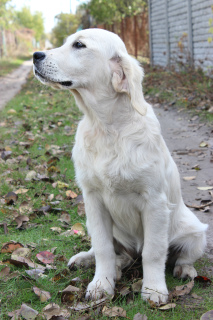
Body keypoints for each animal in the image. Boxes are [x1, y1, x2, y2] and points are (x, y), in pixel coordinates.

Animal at [33, 28, 208, 304]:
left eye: (79, 45)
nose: (35, 55)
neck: (106, 127)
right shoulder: (93, 199)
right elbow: (103, 248)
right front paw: (102, 283)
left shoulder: (155, 203)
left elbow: (154, 252)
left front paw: (154, 289)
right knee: (117, 254)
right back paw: (91, 261)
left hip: (196, 232)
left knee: (180, 255)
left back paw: (185, 270)